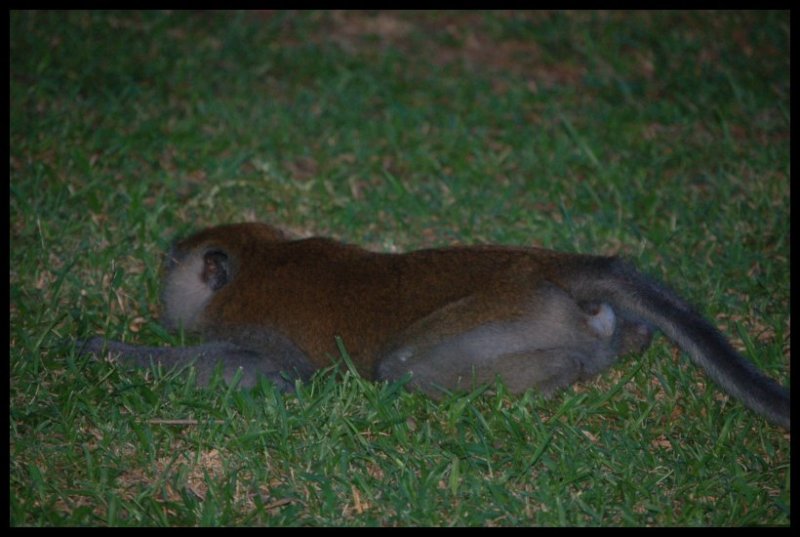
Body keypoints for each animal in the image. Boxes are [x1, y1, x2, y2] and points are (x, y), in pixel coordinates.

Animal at [80, 222, 790, 430]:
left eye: (172, 264)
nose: (159, 273)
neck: (262, 258)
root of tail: (539, 263)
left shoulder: (258, 335)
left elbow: (264, 374)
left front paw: (106, 349)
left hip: (509, 316)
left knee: (405, 370)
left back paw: (566, 371)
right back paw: (627, 340)